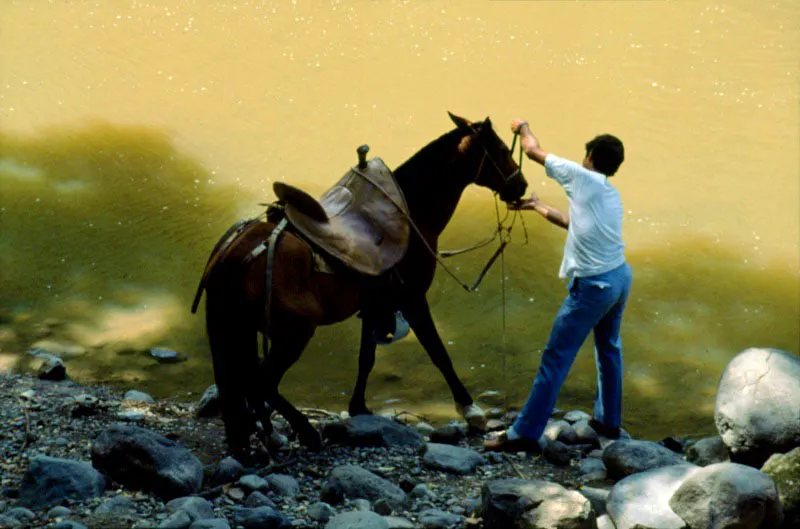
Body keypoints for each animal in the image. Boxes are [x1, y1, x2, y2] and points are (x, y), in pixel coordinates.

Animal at [193, 112, 528, 458]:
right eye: (502, 150)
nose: (522, 185)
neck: (412, 213)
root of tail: (232, 256)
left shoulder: (374, 305)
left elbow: (366, 359)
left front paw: (359, 407)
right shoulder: (412, 299)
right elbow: (438, 353)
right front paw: (470, 409)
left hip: (242, 330)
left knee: (247, 382)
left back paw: (266, 436)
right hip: (294, 334)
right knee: (262, 381)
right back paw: (305, 432)